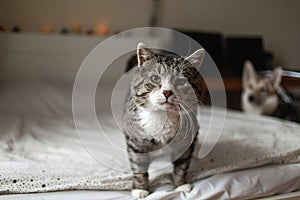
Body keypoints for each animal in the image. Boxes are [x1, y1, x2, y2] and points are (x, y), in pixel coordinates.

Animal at [122, 43, 206, 198]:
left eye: (181, 81)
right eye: (155, 78)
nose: (167, 92)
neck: (164, 117)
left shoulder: (186, 142)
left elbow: (182, 166)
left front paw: (180, 186)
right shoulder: (136, 142)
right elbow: (139, 167)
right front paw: (140, 189)